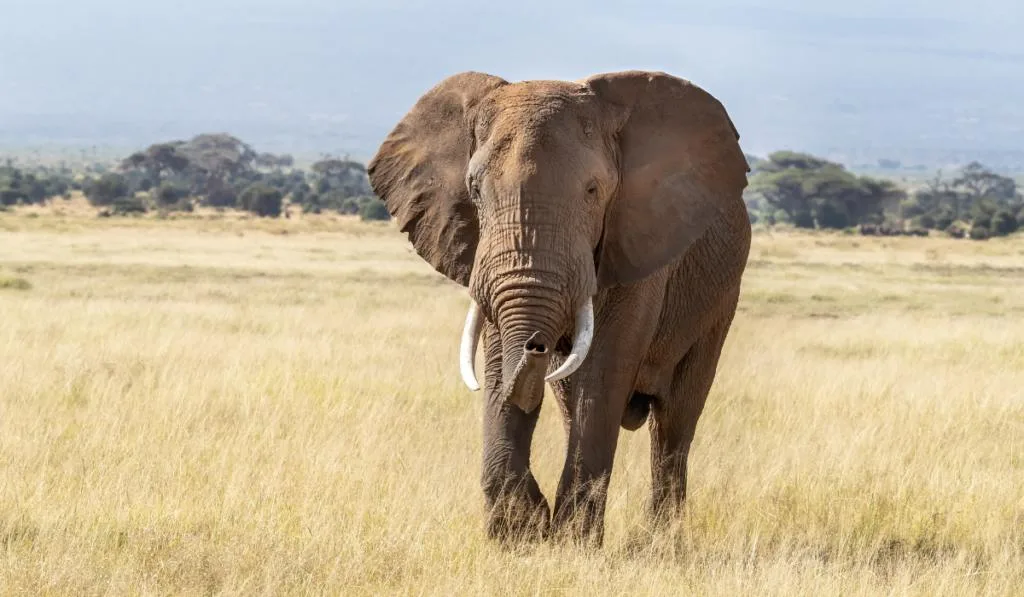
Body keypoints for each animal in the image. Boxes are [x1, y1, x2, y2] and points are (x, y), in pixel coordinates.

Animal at [368, 69, 753, 544]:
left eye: (592, 190)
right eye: (474, 190)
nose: (537, 347)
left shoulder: (638, 243)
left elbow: (603, 371)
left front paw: (573, 543)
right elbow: (502, 359)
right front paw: (520, 533)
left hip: (720, 301)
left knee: (674, 422)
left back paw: (661, 542)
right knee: (574, 406)